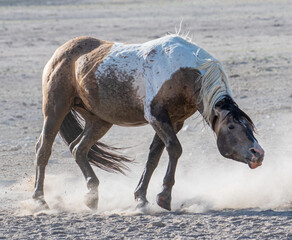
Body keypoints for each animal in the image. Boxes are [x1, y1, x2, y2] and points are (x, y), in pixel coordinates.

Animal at [32, 33, 264, 210]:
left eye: (250, 126)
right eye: (231, 126)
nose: (258, 153)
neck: (183, 72)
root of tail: (61, 52)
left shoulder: (174, 122)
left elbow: (153, 157)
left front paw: (141, 198)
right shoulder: (156, 117)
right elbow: (174, 149)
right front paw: (164, 197)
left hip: (99, 121)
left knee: (78, 149)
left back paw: (92, 196)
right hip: (55, 109)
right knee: (43, 149)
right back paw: (39, 200)